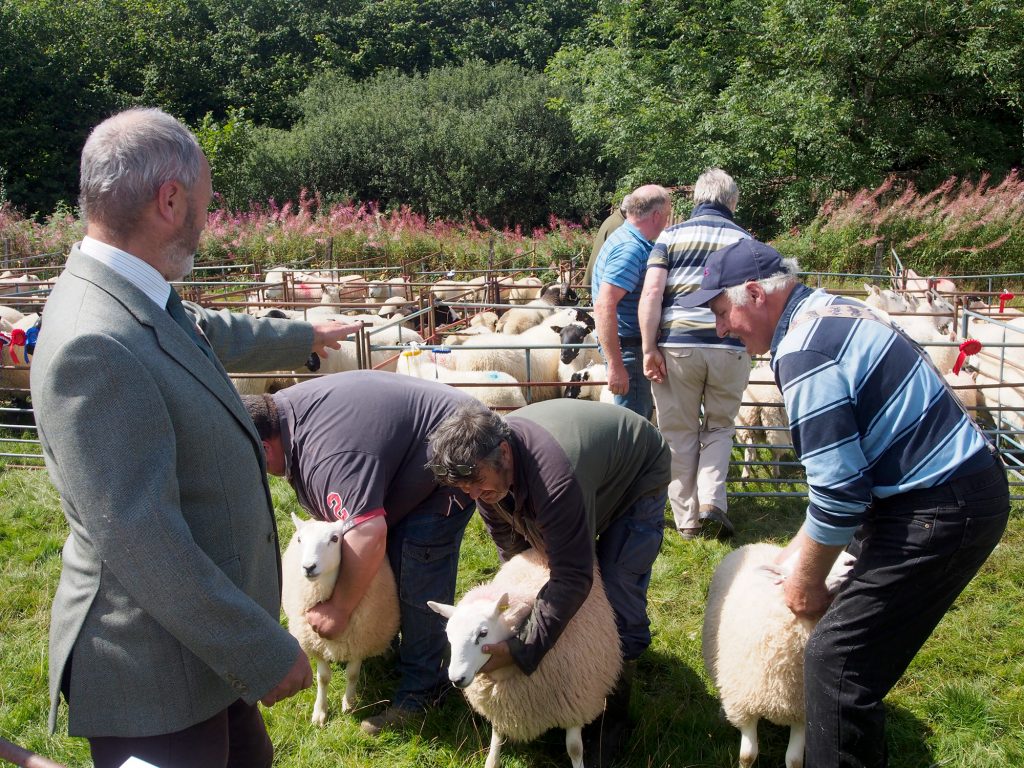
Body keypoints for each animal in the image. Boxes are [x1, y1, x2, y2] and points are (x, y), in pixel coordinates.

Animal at [284, 514, 403, 724]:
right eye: (299, 539)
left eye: (334, 539)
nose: (308, 567)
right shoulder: (317, 643)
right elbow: (323, 678)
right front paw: (320, 712)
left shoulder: (360, 641)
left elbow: (353, 675)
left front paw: (349, 704)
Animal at [428, 548, 618, 768]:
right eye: (449, 635)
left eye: (483, 633)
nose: (456, 679)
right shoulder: (500, 701)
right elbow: (497, 736)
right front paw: (492, 761)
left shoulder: (578, 701)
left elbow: (574, 749)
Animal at [704, 544, 856, 768]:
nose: (852, 561)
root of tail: (758, 544)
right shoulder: (745, 703)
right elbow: (748, 755)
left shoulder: (802, 711)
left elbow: (794, 760)